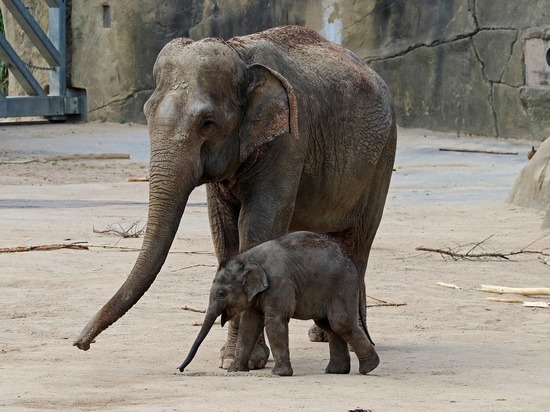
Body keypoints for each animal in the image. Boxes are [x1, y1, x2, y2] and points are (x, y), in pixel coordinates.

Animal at [179, 232, 382, 376]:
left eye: (221, 294)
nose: (180, 369)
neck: (250, 258)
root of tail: (350, 260)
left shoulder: (280, 283)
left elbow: (274, 322)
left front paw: (280, 374)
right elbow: (250, 324)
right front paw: (235, 370)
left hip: (343, 285)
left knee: (340, 323)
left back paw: (369, 368)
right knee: (329, 324)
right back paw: (336, 371)